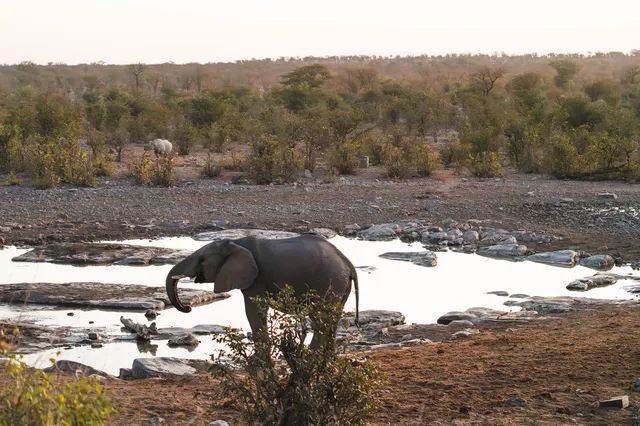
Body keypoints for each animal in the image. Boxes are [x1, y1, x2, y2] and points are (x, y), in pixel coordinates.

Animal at [166, 234, 359, 348]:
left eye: (202, 260)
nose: (188, 307)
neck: (235, 243)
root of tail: (347, 262)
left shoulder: (256, 278)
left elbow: (254, 311)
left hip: (329, 281)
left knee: (321, 319)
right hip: (339, 284)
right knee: (331, 320)